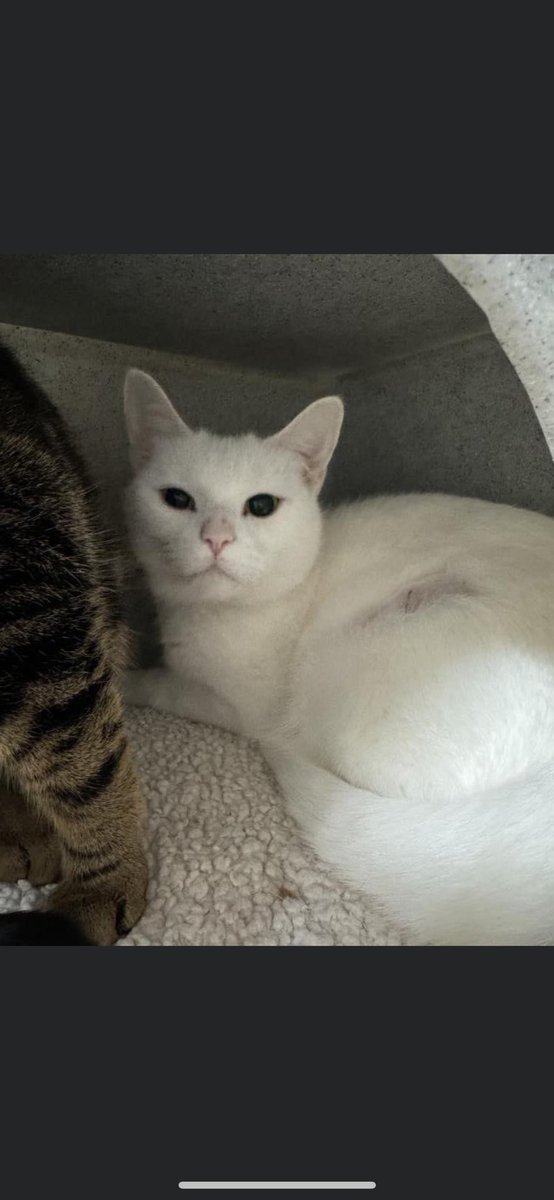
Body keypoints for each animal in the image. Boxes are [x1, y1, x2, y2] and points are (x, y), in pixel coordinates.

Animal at [122, 367, 554, 945]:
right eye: (176, 499)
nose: (216, 538)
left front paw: (124, 679)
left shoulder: (242, 706)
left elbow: (165, 684)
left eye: (261, 506)